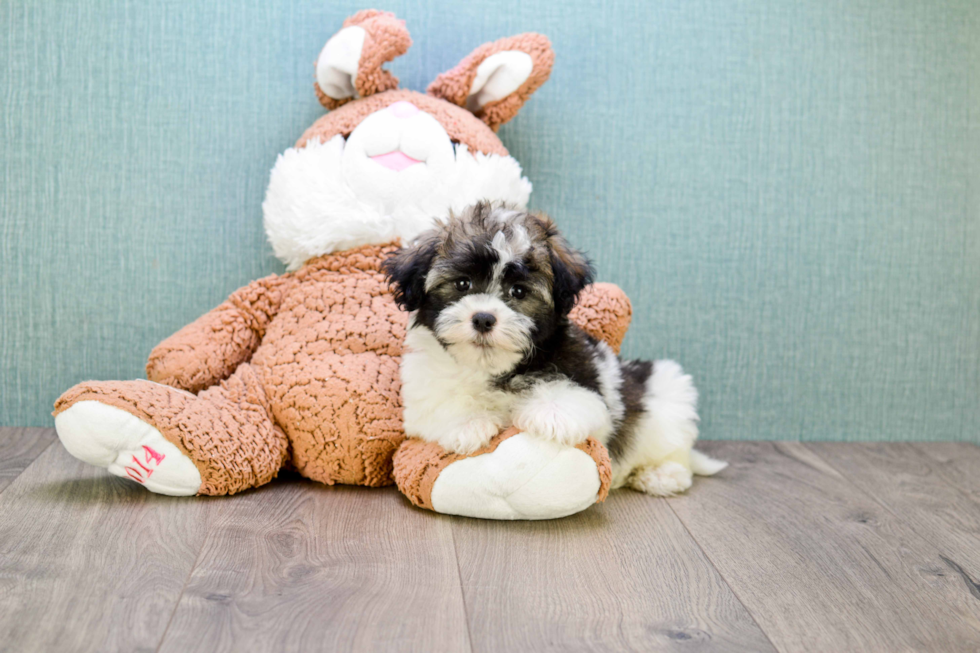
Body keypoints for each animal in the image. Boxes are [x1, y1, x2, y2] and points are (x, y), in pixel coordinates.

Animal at [384, 201, 728, 496]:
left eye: (519, 291)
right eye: (462, 284)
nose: (483, 318)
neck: (492, 368)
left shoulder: (589, 378)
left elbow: (575, 395)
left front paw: (550, 412)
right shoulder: (420, 394)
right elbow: (439, 405)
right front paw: (468, 424)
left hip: (669, 392)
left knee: (676, 452)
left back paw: (661, 474)